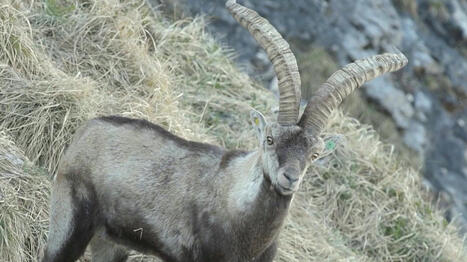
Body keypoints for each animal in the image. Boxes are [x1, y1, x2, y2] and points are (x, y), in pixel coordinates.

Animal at [44, 0, 408, 262]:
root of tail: (87, 129)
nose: (290, 178)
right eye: (269, 139)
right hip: (70, 217)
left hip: (112, 243)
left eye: (315, 154)